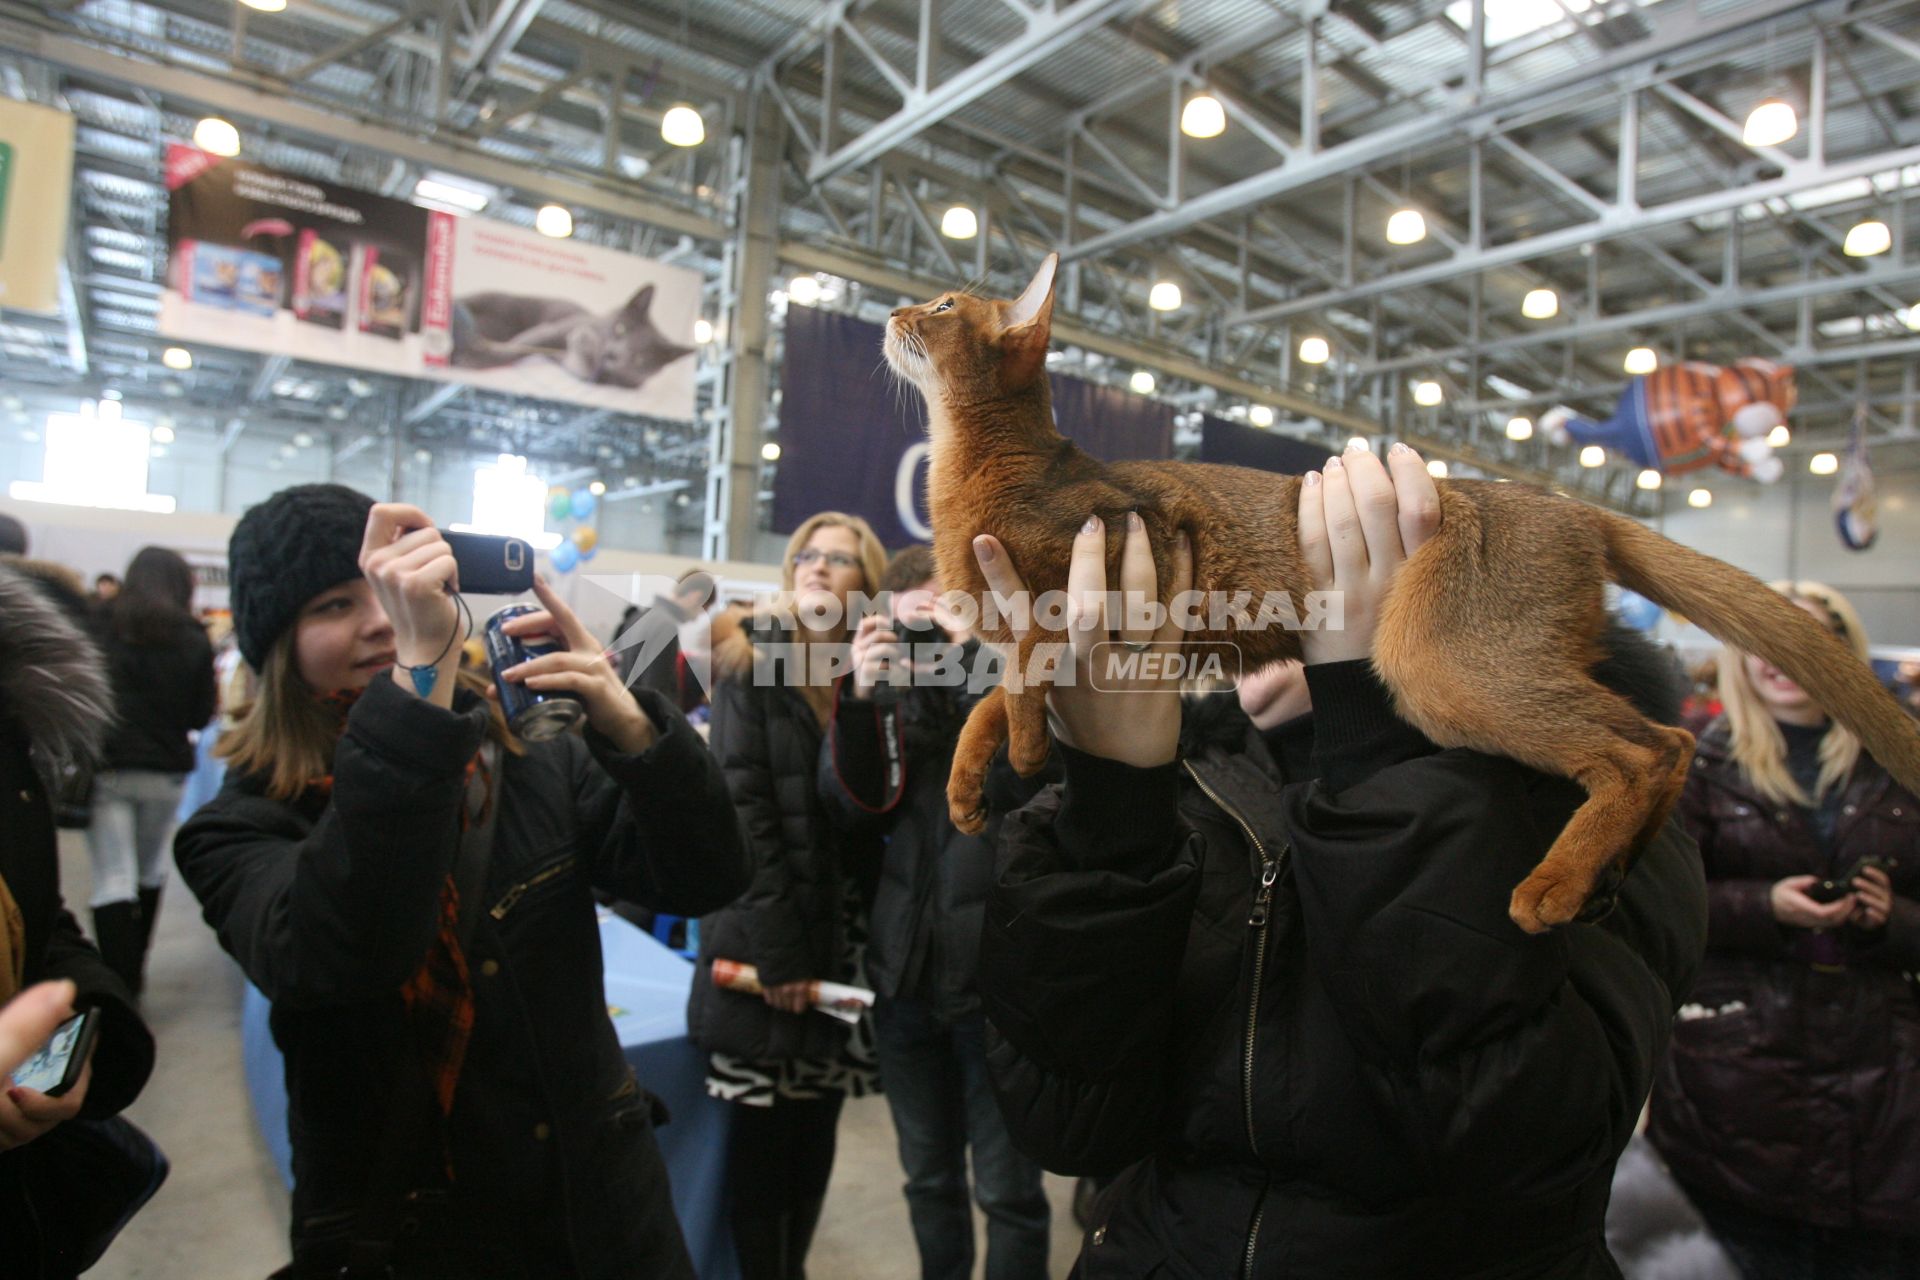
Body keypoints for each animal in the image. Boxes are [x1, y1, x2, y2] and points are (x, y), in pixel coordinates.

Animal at [445, 285, 695, 391]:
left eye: (640, 358)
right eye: (621, 329)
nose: (611, 354)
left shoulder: (603, 380)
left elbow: (583, 369)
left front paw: (584, 346)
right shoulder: (553, 329)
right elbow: (520, 346)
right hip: (500, 301)